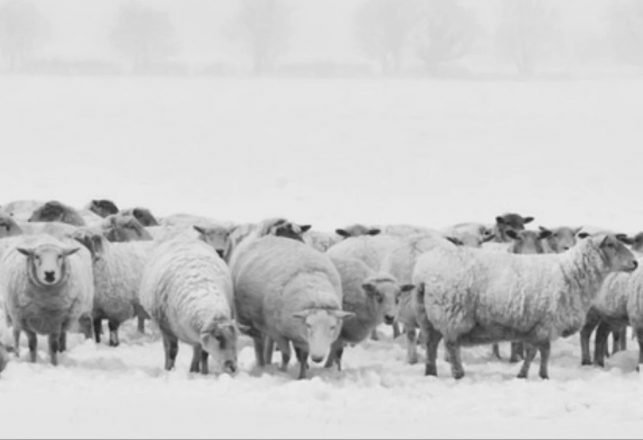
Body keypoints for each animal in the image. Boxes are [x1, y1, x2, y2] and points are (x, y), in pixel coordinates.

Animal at [0, 234, 95, 364]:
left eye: (60, 256)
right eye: (36, 256)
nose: (49, 273)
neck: (45, 302)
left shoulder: (57, 322)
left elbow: (53, 346)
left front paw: (54, 364)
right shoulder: (25, 322)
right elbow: (32, 344)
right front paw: (33, 362)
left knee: (65, 335)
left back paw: (62, 351)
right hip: (12, 314)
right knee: (15, 333)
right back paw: (16, 355)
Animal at [140, 237, 239, 374]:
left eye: (236, 338)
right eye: (218, 337)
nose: (232, 367)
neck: (202, 292)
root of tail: (183, 238)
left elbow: (203, 353)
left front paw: (204, 373)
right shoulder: (166, 328)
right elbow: (172, 351)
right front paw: (170, 370)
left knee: (197, 349)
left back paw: (194, 369)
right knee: (168, 349)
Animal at [231, 235, 352, 380]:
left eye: (332, 327)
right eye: (309, 325)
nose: (317, 358)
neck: (316, 292)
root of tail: (265, 237)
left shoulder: (301, 338)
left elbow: (304, 357)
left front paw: (302, 376)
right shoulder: (278, 332)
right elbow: (286, 355)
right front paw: (282, 372)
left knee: (267, 343)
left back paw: (267, 363)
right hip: (253, 321)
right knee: (258, 343)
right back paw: (261, 366)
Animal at [412, 232, 640, 380]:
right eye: (611, 245)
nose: (636, 263)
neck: (570, 272)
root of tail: (423, 272)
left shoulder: (535, 326)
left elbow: (534, 351)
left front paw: (527, 373)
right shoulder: (546, 323)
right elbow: (542, 352)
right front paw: (540, 375)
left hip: (426, 316)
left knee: (431, 344)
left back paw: (431, 372)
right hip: (451, 314)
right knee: (451, 345)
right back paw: (458, 373)